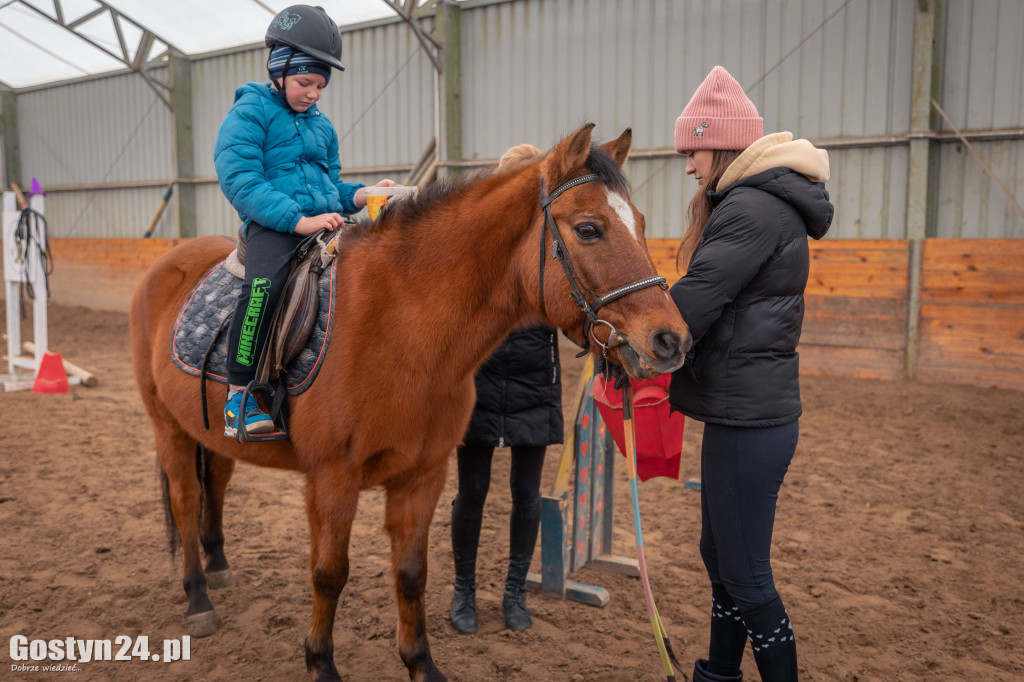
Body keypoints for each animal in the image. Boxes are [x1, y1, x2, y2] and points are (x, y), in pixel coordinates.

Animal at [128, 123, 688, 679]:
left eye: (641, 223)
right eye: (589, 229)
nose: (671, 340)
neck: (399, 326)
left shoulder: (423, 475)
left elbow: (412, 573)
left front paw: (421, 664)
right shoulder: (332, 479)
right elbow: (329, 573)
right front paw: (320, 663)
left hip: (208, 435)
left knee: (216, 486)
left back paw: (219, 567)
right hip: (167, 427)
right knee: (186, 500)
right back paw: (199, 599)